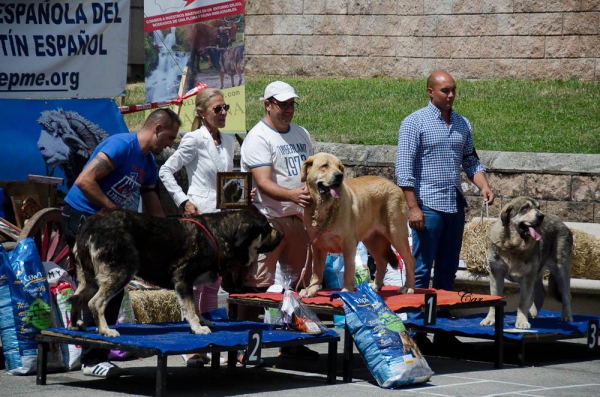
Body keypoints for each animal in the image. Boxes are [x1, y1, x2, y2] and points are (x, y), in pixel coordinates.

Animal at [298, 152, 414, 296]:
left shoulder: (348, 243)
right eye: (325, 165)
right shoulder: (317, 245)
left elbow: (348, 269)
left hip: (396, 234)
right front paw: (311, 289)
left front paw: (347, 291)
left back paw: (409, 287)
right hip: (372, 239)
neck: (324, 207)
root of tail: (396, 186)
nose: (339, 176)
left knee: (410, 260)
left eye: (340, 167)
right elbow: (317, 272)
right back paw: (375, 286)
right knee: (382, 261)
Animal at [480, 195, 576, 328]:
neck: (513, 245)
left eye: (539, 207)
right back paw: (532, 314)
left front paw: (521, 321)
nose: (541, 215)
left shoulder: (527, 277)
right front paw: (490, 319)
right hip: (537, 273)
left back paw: (566, 316)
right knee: (541, 293)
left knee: (566, 295)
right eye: (525, 208)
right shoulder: (496, 273)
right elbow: (495, 297)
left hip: (561, 270)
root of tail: (562, 222)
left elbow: (523, 302)